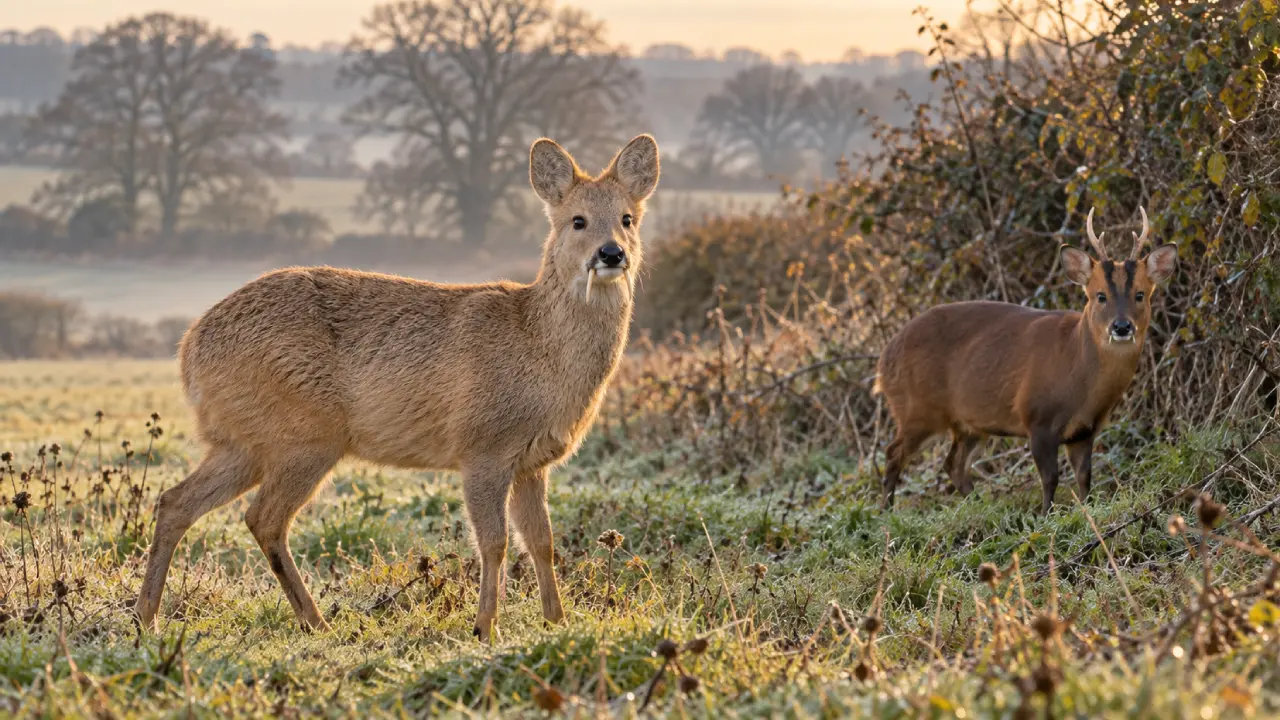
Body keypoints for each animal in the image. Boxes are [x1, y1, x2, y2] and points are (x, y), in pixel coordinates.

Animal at [134, 134, 660, 642]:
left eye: (628, 218)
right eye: (577, 220)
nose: (611, 253)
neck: (539, 348)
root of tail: (190, 350)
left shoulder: (533, 463)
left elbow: (542, 542)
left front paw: (557, 621)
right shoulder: (482, 449)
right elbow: (494, 543)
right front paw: (484, 628)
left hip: (243, 443)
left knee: (176, 502)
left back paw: (148, 618)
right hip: (305, 438)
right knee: (263, 518)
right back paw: (317, 623)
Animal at [874, 207, 1178, 513]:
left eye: (1140, 294)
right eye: (1100, 295)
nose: (1122, 326)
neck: (1077, 372)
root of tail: (884, 361)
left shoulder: (1084, 430)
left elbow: (1084, 477)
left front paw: (1084, 509)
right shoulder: (1037, 417)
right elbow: (1051, 478)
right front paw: (1046, 515)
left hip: (969, 423)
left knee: (953, 464)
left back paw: (984, 507)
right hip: (918, 408)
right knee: (893, 453)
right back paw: (885, 512)